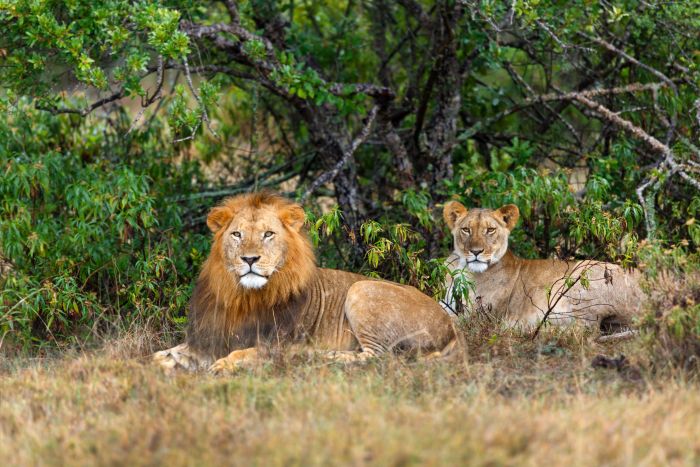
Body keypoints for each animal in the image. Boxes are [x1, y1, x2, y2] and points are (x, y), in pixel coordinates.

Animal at [153, 192, 454, 374]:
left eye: (268, 234)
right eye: (237, 234)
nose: (249, 259)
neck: (244, 297)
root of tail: (451, 328)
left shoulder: (279, 345)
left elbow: (244, 353)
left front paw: (222, 366)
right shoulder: (210, 338)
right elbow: (163, 355)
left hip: (362, 289)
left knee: (378, 357)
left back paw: (321, 357)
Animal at [446, 201, 644, 332]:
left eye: (490, 230)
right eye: (466, 230)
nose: (476, 251)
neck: (462, 268)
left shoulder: (477, 316)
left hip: (583, 276)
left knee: (583, 328)